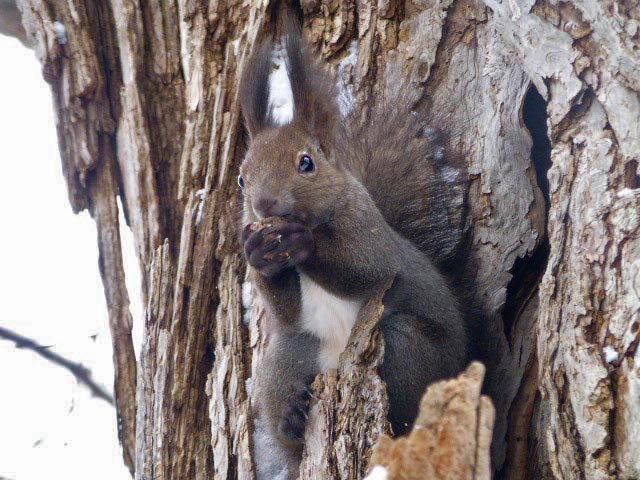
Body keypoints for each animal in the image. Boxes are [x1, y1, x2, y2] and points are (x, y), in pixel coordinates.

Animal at [238, 18, 492, 480]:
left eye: (306, 163)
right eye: (242, 178)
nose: (264, 205)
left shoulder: (370, 236)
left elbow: (366, 271)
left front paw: (304, 245)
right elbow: (285, 309)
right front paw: (259, 254)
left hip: (408, 345)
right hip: (289, 356)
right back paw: (292, 419)